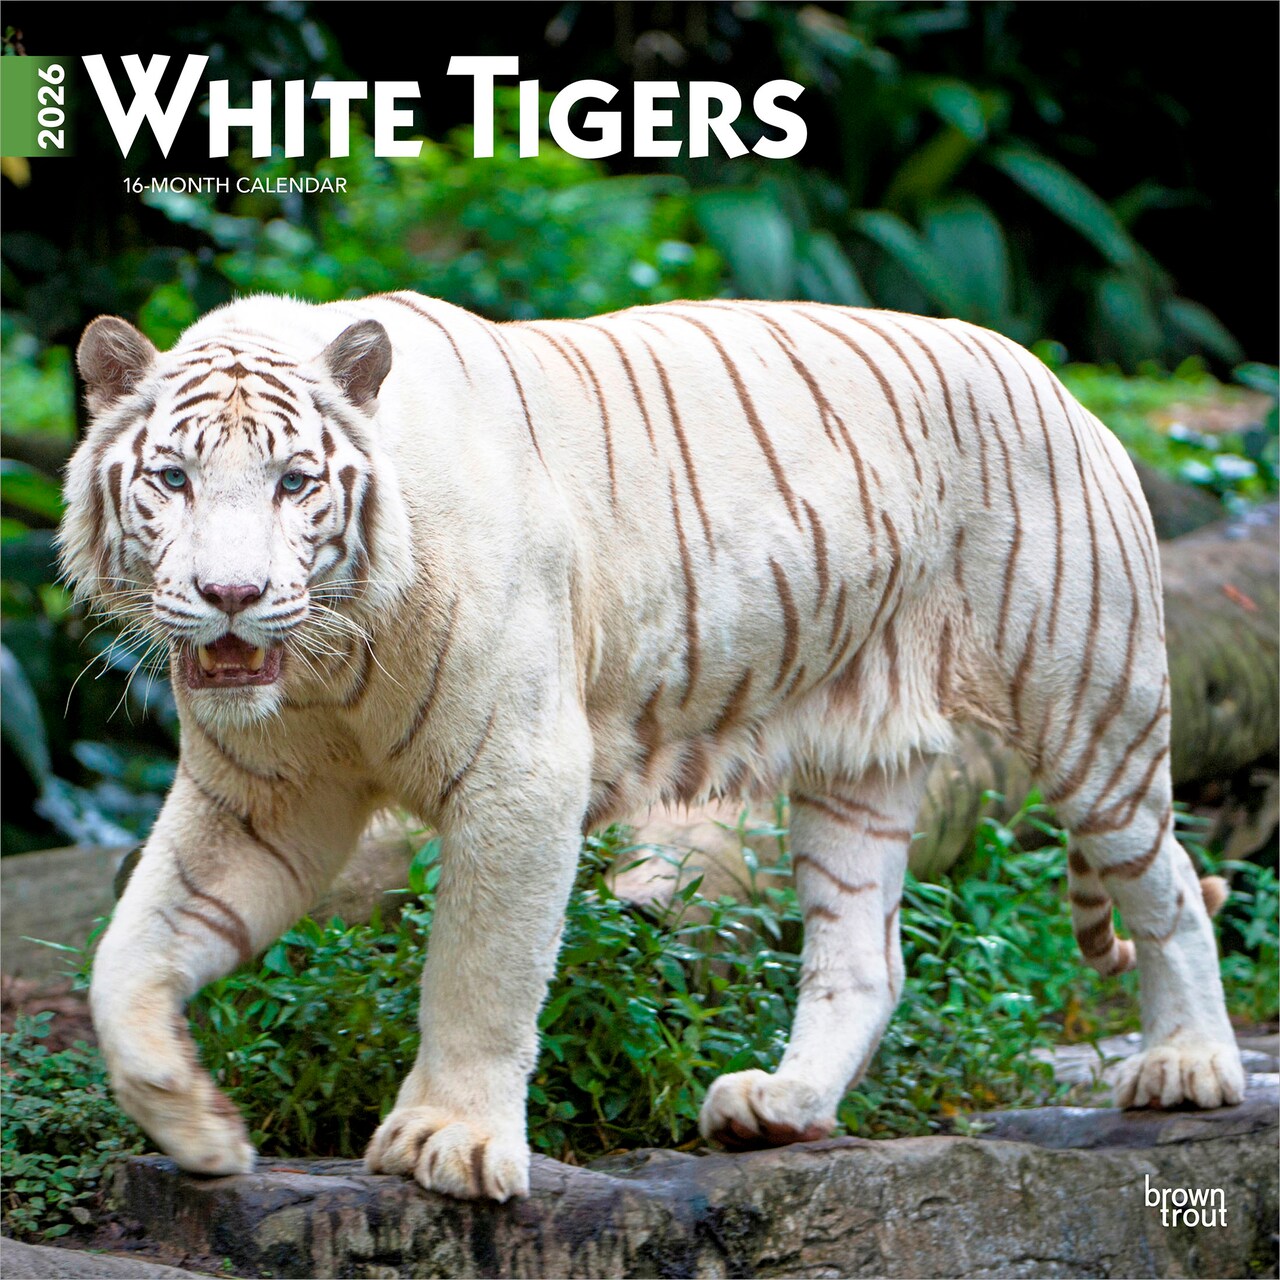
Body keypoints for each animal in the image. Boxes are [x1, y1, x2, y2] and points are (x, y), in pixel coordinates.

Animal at [60, 291, 1245, 1202]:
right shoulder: (262, 800)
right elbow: (127, 954)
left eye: (294, 483)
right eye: (172, 478)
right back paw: (781, 1105)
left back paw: (1189, 1066)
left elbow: (479, 972)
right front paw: (199, 1127)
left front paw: (450, 1140)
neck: (326, 662)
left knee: (1170, 882)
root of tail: (1057, 379)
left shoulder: (521, 774)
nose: (230, 595)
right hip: (853, 764)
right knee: (865, 957)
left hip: (1088, 698)